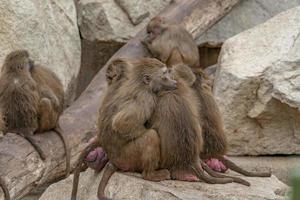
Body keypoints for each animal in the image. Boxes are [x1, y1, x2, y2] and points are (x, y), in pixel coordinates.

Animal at [71, 57, 177, 200]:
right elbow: (121, 124)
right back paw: (150, 174)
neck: (142, 84)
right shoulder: (146, 99)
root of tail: (115, 161)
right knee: (151, 136)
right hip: (128, 157)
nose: (175, 82)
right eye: (164, 75)